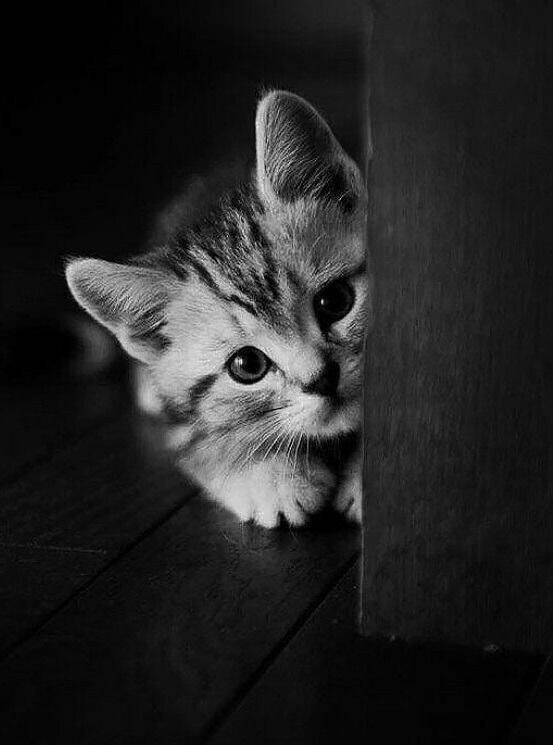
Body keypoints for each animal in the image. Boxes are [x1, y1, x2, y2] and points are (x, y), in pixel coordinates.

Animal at [65, 90, 370, 528]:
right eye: (247, 365)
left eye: (335, 302)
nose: (322, 380)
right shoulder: (179, 421)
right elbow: (204, 443)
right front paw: (269, 475)